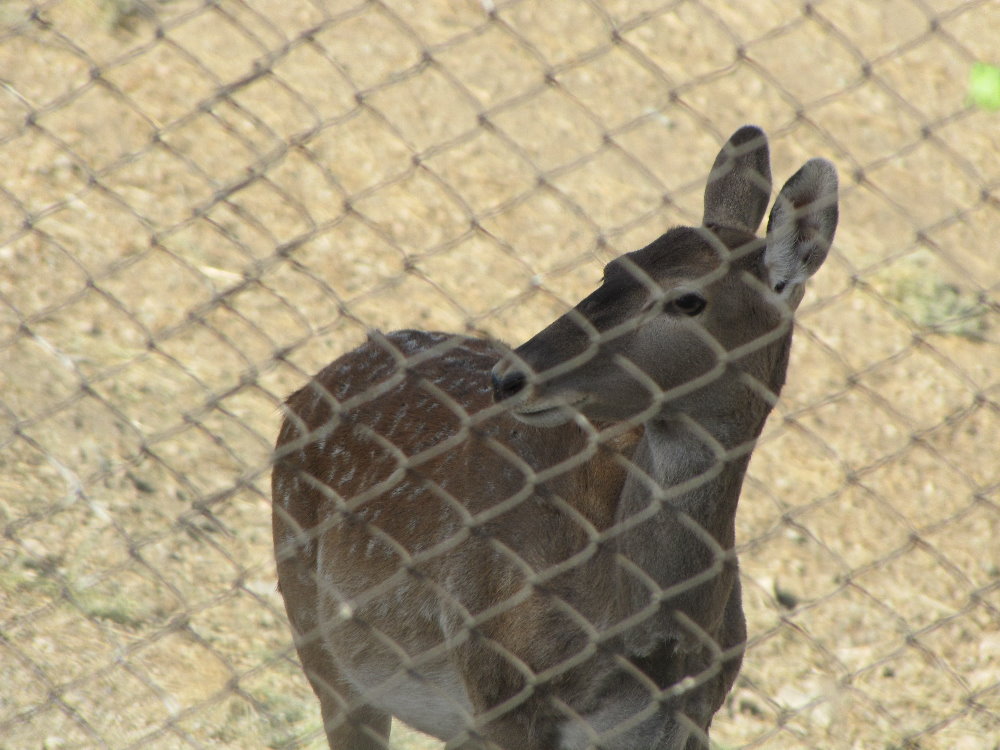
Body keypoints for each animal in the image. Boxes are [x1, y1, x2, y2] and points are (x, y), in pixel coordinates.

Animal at [272, 125, 838, 750]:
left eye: (687, 298)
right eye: (612, 268)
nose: (510, 376)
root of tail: (308, 386)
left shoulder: (694, 717)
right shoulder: (501, 696)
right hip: (322, 645)